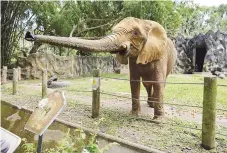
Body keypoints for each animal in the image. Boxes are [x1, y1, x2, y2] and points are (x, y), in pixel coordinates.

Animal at [25, 16, 177, 119]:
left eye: (135, 33)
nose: (29, 34)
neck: (146, 22)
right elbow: (134, 82)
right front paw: (134, 115)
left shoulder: (160, 54)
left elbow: (158, 82)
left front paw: (158, 120)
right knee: (147, 83)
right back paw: (150, 104)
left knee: (159, 82)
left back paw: (153, 106)